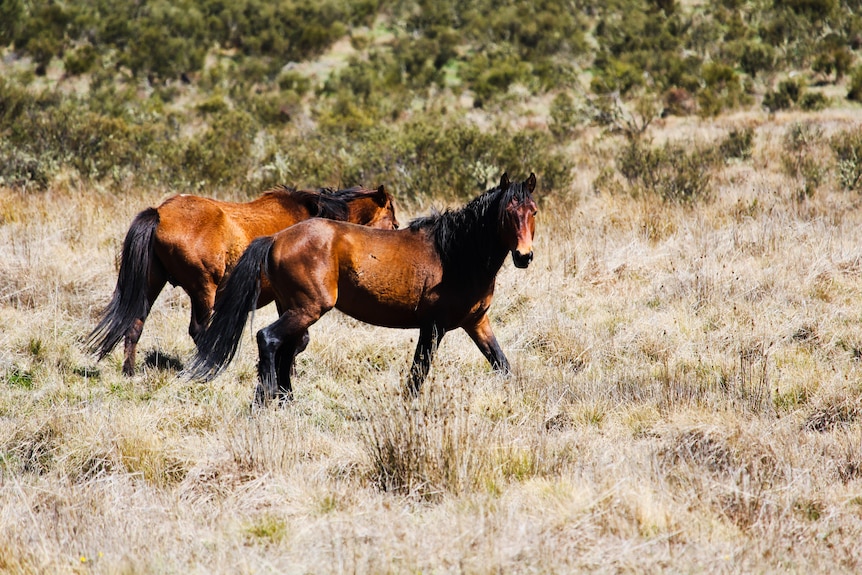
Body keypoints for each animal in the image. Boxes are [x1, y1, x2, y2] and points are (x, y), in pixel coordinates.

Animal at [87, 182, 398, 376]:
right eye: (393, 221)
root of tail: (160, 213)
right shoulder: (291, 301)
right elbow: (299, 339)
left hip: (152, 284)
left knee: (135, 324)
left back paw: (129, 372)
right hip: (204, 289)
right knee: (199, 331)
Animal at [189, 173, 536, 408]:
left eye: (532, 211)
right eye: (507, 213)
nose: (524, 256)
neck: (454, 255)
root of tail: (276, 239)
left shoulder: (476, 323)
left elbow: (501, 364)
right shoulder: (433, 327)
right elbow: (418, 373)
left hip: (294, 309)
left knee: (285, 350)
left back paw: (285, 402)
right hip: (307, 309)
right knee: (268, 339)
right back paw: (265, 402)